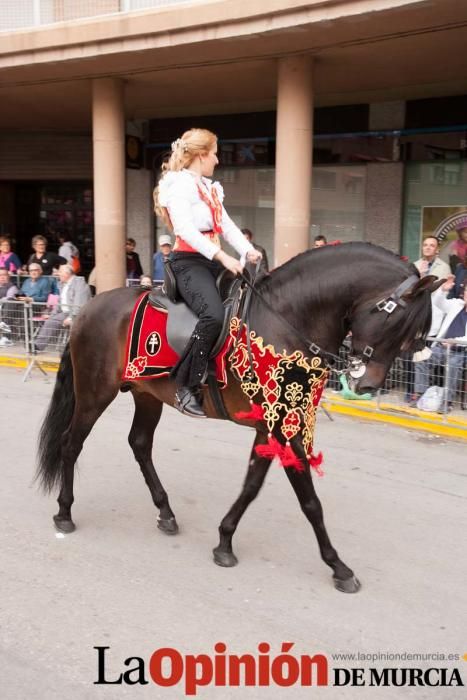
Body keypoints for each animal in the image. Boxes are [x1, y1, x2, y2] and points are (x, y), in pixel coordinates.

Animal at [36, 243, 442, 592]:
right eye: (398, 324)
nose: (369, 384)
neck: (288, 321)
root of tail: (88, 308)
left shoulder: (273, 425)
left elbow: (251, 486)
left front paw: (225, 540)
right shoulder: (284, 427)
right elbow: (310, 501)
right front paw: (338, 566)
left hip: (147, 394)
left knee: (139, 444)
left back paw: (165, 512)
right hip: (95, 392)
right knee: (70, 444)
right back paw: (64, 512)